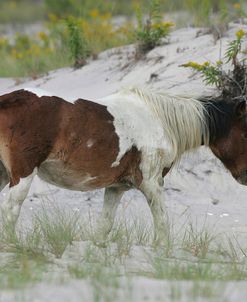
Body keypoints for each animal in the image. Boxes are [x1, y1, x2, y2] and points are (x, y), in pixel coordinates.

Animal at [0, 87, 247, 241]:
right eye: (245, 134)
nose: (245, 176)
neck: (159, 120)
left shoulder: (115, 188)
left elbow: (104, 226)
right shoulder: (152, 184)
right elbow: (162, 224)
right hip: (22, 176)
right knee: (11, 210)